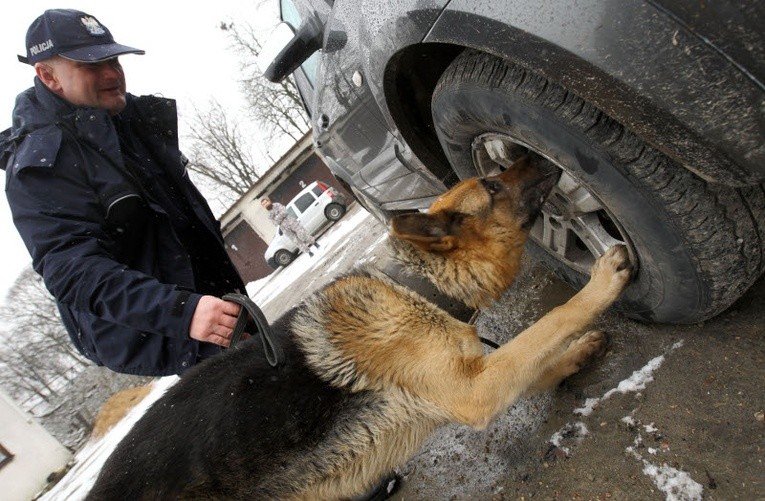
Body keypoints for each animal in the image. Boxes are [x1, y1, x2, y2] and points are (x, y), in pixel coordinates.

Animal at [86, 155, 628, 496]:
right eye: (493, 186)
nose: (531, 158)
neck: (412, 287)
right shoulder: (474, 391)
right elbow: (552, 322)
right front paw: (600, 285)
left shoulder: (470, 379)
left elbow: (541, 362)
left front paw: (578, 354)